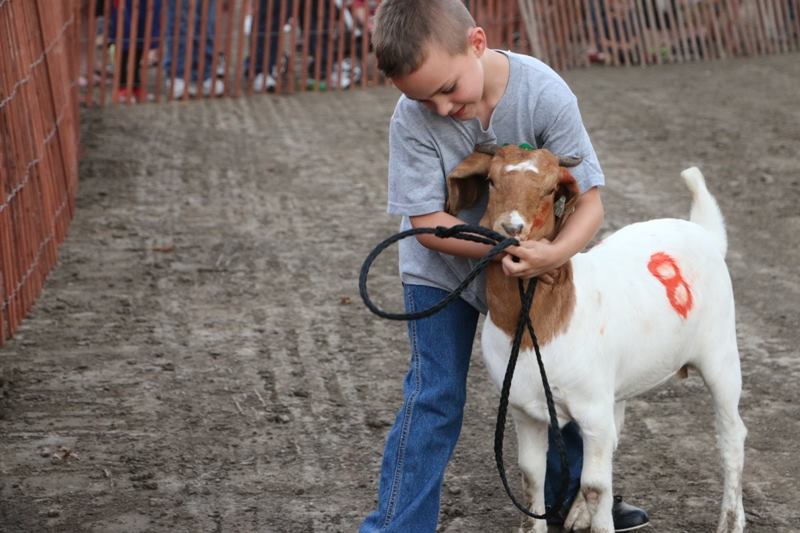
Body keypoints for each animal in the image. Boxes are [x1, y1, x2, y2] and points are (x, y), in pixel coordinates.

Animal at [446, 145, 746, 533]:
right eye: (492, 181)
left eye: (549, 189)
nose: (511, 228)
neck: (536, 328)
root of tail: (704, 233)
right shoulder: (524, 408)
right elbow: (531, 475)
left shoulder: (592, 409)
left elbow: (595, 486)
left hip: (720, 354)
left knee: (732, 437)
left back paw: (730, 521)